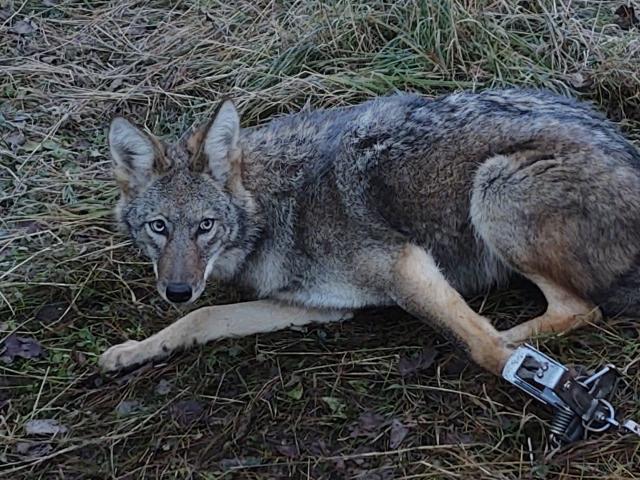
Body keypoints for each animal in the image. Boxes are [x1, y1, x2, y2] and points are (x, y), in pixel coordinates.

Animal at [99, 89, 640, 375]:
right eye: (159, 228)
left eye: (205, 226)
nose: (176, 290)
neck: (273, 208)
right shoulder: (317, 306)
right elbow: (203, 317)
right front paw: (134, 350)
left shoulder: (404, 264)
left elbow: (485, 349)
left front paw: (512, 360)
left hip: (492, 187)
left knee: (579, 309)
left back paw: (512, 340)